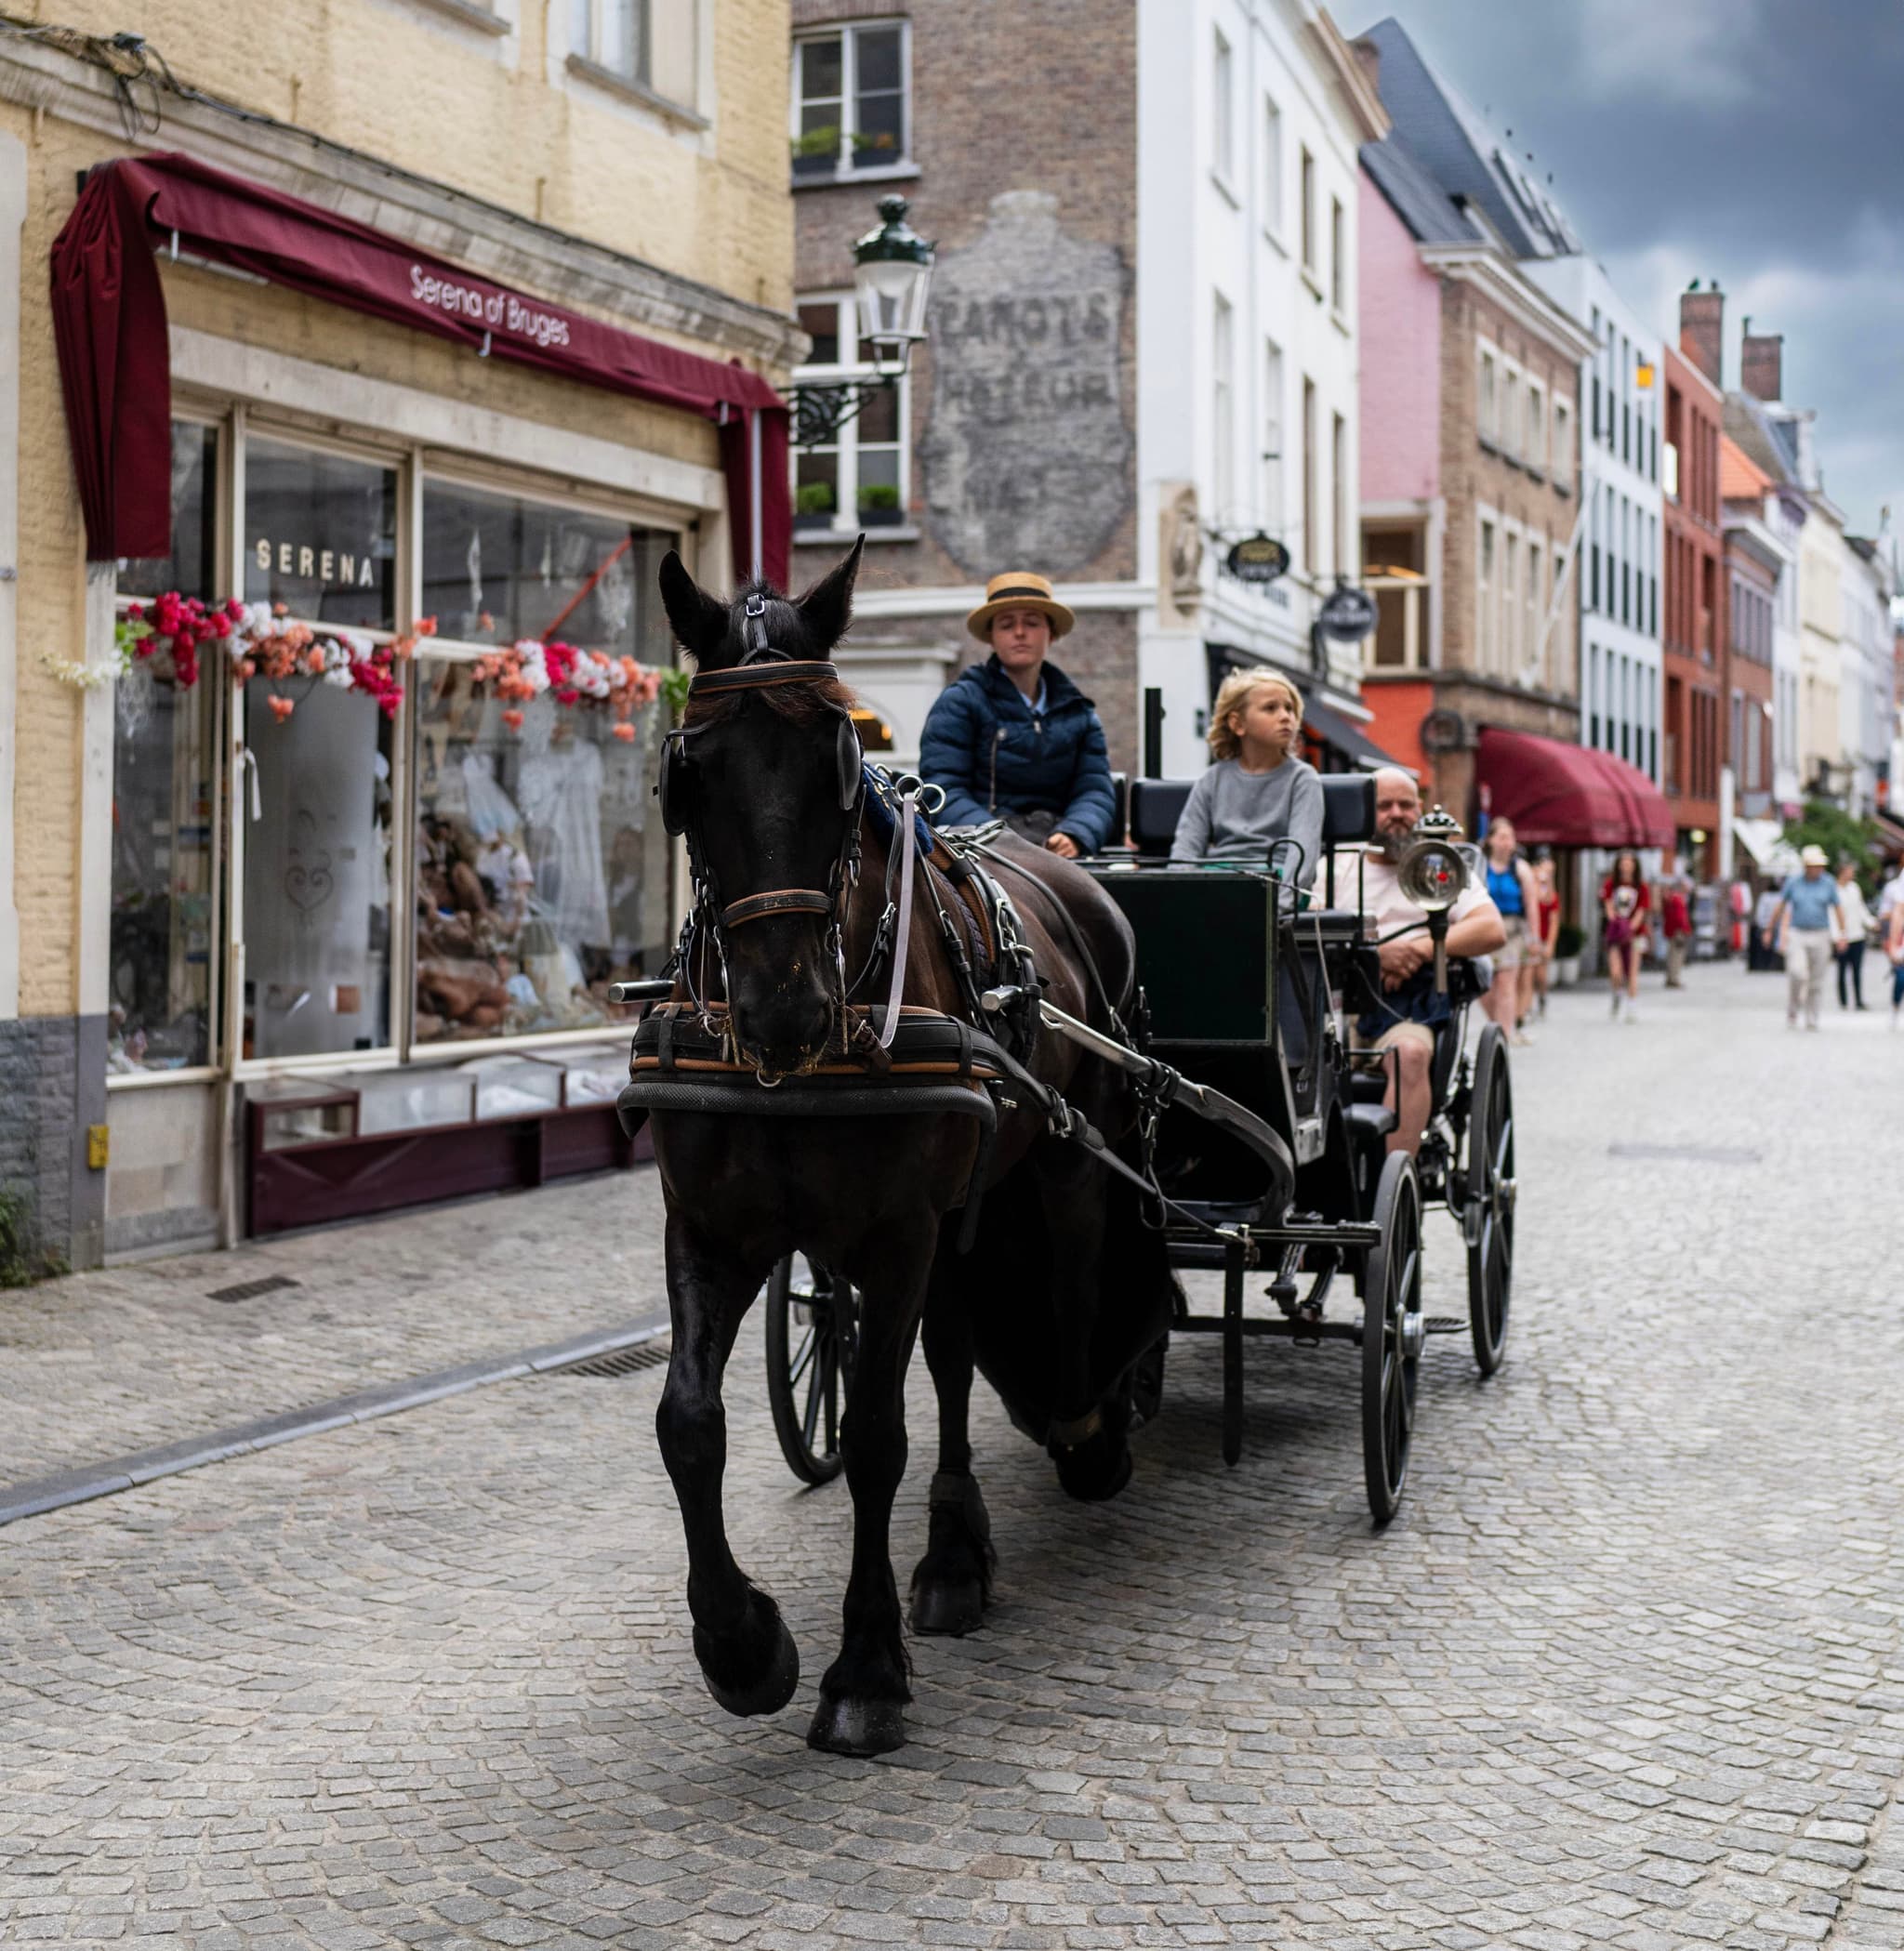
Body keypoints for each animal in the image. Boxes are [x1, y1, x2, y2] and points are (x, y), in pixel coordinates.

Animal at [643, 542, 1178, 1763]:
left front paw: (863, 1672)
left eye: (844, 761)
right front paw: (742, 1647)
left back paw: (1081, 1424)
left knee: (1069, 1282)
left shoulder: (895, 1233)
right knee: (955, 1347)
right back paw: (954, 1557)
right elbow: (688, 1422)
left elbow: (876, 1436)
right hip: (961, 1213)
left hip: (1055, 1164)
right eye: (689, 770)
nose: (782, 1007)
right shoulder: (711, 1227)